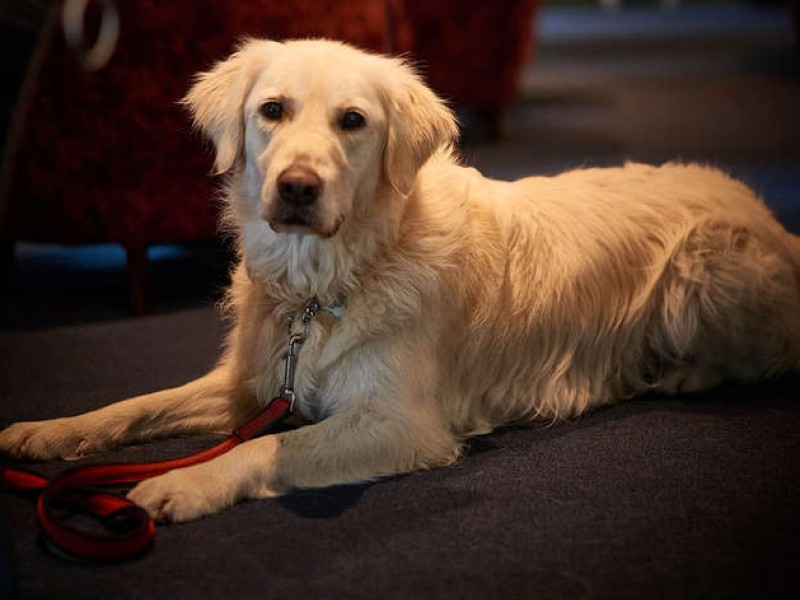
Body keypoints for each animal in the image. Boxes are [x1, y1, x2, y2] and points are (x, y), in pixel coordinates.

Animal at [1, 39, 800, 524]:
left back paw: (682, 374)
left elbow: (262, 448)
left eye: (353, 121)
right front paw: (49, 431)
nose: (297, 187)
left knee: (766, 354)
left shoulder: (400, 423)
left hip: (705, 271)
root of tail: (767, 214)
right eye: (272, 111)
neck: (324, 283)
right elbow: (138, 405)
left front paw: (181, 481)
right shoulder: (253, 382)